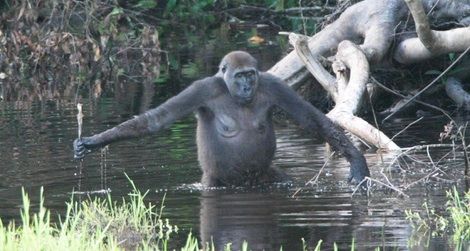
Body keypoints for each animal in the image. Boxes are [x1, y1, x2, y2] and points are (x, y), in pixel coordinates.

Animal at [73, 50, 370, 186]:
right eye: (239, 76)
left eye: (250, 74)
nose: (248, 86)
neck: (231, 91)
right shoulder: (201, 89)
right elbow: (157, 119)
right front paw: (95, 141)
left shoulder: (273, 84)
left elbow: (311, 119)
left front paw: (357, 161)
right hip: (213, 182)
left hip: (266, 177)